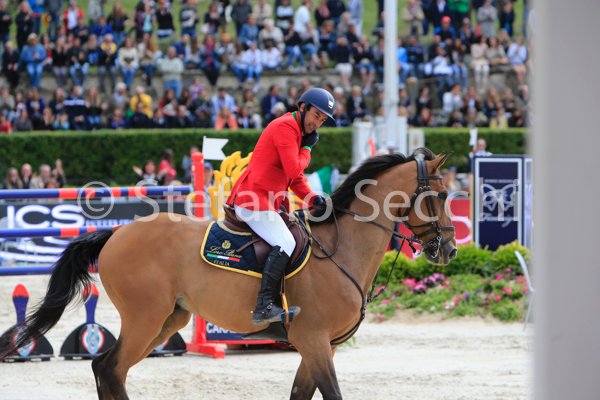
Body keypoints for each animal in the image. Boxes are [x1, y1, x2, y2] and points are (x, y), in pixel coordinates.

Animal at [0, 148, 457, 400]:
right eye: (439, 195)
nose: (450, 249)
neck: (341, 248)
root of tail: (117, 233)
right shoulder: (314, 341)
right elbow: (333, 394)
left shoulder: (317, 346)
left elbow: (300, 394)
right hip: (145, 317)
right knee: (109, 368)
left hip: (168, 321)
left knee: (110, 369)